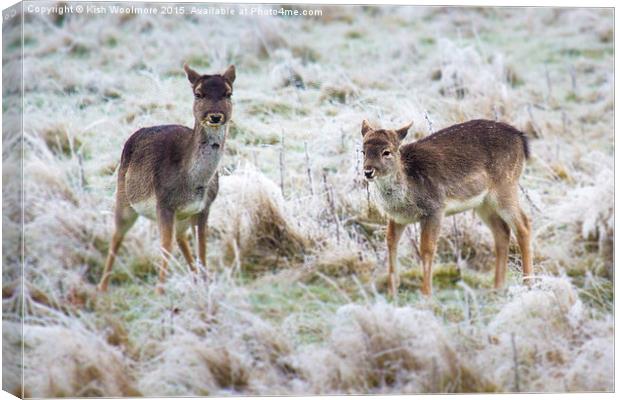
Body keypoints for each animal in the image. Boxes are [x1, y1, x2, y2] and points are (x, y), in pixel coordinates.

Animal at [98, 65, 236, 294]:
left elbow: (202, 246)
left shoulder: (204, 207)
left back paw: (196, 279)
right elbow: (165, 247)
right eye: (198, 93)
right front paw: (160, 292)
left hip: (181, 217)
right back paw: (102, 286)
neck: (193, 184)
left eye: (228, 93)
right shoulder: (163, 204)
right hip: (123, 197)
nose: (215, 116)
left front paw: (205, 283)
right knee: (117, 235)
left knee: (180, 238)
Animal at [364, 118, 532, 296]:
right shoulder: (396, 217)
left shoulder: (435, 208)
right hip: (483, 202)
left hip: (505, 187)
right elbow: (390, 243)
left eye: (386, 152)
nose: (368, 171)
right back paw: (497, 288)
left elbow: (427, 248)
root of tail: (521, 139)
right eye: (363, 151)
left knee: (523, 225)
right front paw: (392, 292)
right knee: (502, 232)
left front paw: (426, 293)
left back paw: (528, 283)